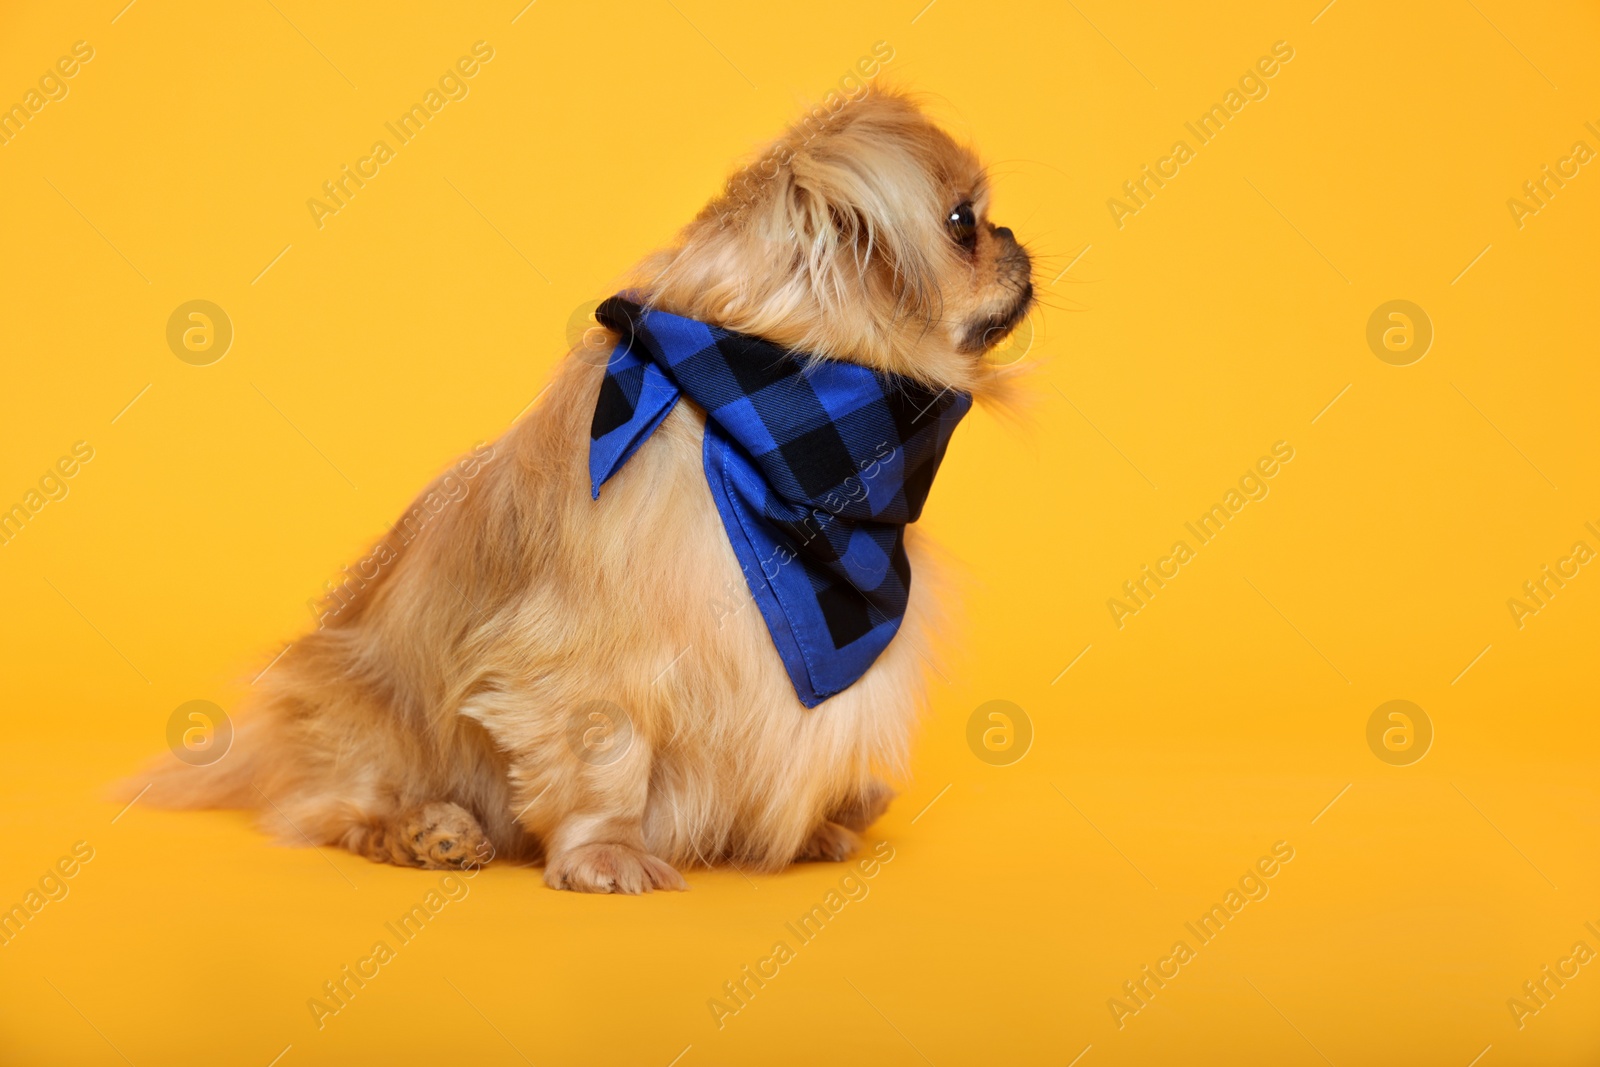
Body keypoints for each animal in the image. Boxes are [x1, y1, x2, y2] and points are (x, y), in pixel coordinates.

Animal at [134, 89, 1036, 895]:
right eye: (962, 223)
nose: (1013, 238)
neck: (779, 426)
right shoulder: (589, 668)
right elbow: (607, 768)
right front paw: (607, 855)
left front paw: (815, 825)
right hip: (363, 725)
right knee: (337, 809)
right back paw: (428, 830)